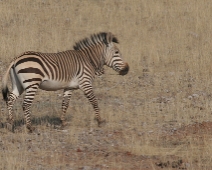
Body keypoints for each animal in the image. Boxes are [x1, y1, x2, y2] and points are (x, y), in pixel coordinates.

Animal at [1, 32, 129, 133]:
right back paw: (30, 127)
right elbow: (94, 101)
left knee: (10, 99)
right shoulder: (85, 83)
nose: (127, 69)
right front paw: (100, 121)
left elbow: (65, 104)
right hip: (32, 83)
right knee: (26, 104)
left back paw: (10, 123)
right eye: (117, 52)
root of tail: (16, 58)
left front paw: (63, 123)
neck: (88, 60)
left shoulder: (69, 87)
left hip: (19, 84)